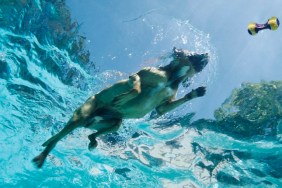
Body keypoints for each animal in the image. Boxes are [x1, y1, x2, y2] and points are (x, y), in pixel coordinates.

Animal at [33, 47, 209, 168]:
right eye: (194, 54)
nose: (207, 54)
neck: (173, 77)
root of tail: (88, 120)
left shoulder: (163, 107)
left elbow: (163, 108)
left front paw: (196, 93)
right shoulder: (138, 75)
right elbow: (137, 87)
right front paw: (125, 97)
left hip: (113, 123)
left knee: (95, 132)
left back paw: (92, 140)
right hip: (81, 114)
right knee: (57, 138)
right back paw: (44, 154)